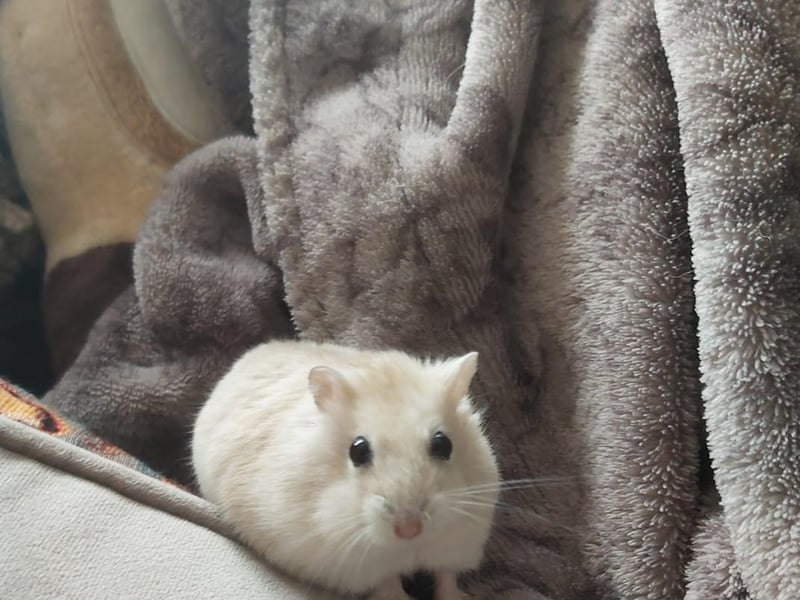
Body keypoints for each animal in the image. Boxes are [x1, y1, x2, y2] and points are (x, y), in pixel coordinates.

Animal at [192, 340, 499, 599]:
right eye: (357, 451)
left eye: (443, 444)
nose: (409, 528)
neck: (409, 549)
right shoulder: (360, 568)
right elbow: (389, 586)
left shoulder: (458, 544)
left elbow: (446, 578)